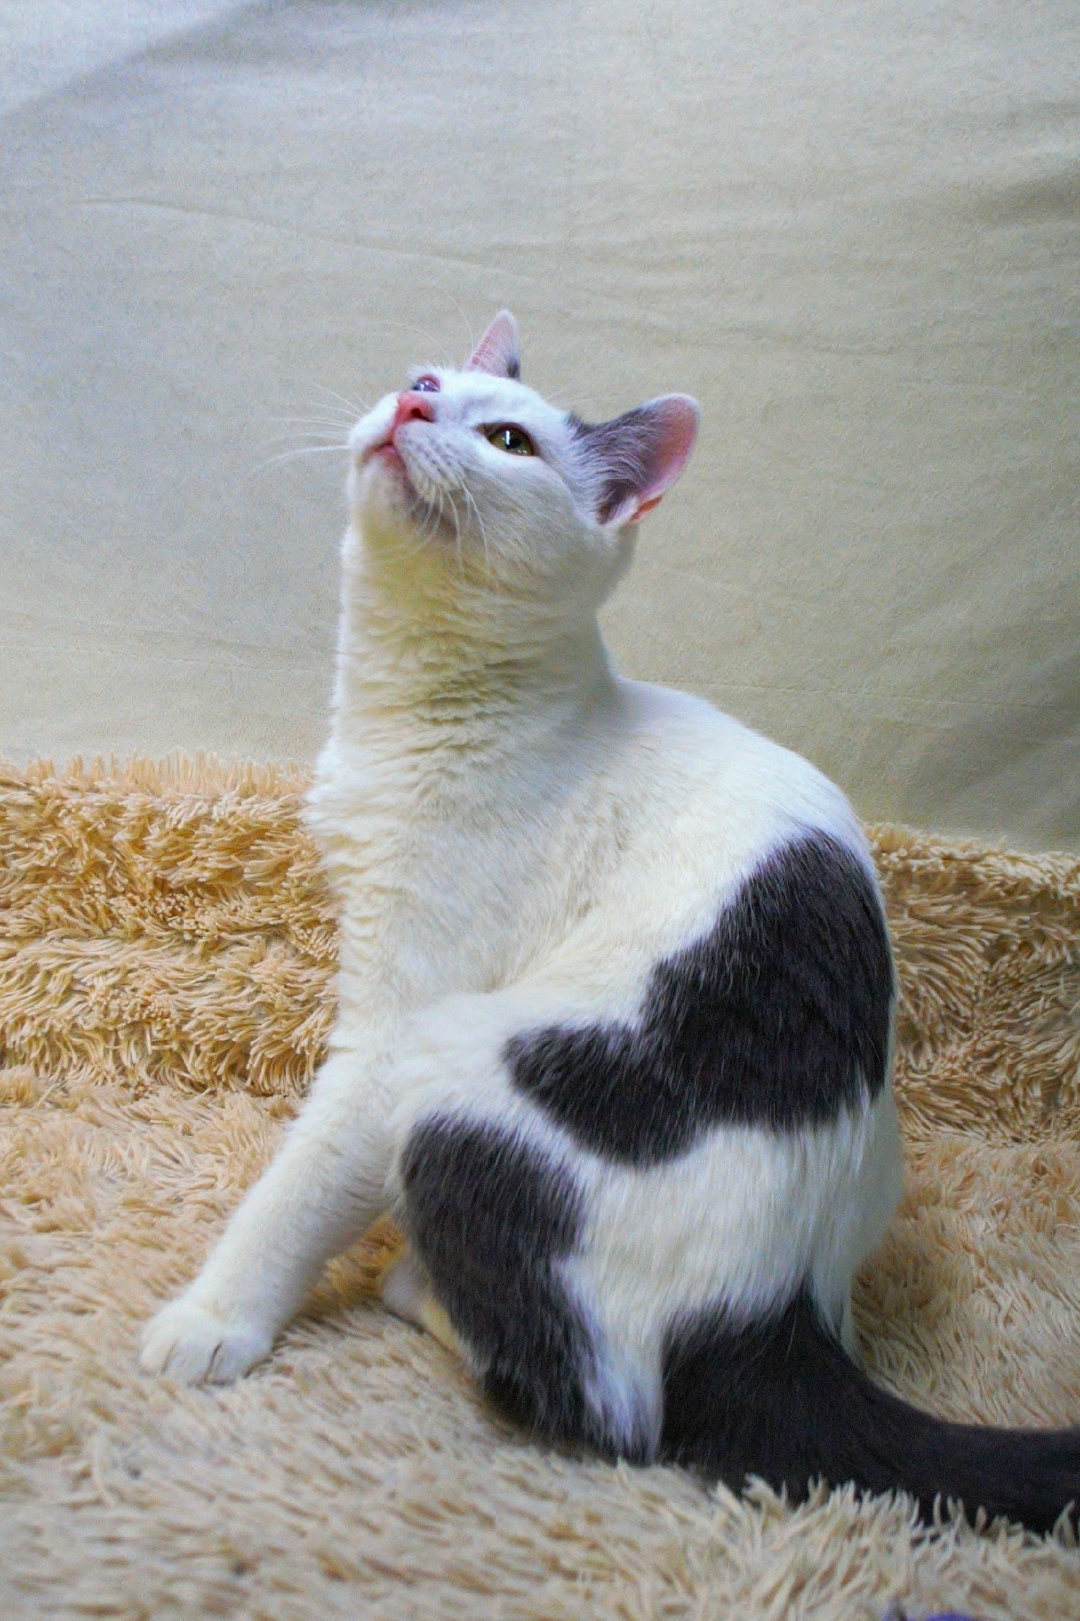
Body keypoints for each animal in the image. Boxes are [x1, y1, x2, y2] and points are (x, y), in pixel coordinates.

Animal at [142, 311, 1080, 1531]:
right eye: (423, 378)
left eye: (508, 439)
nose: (411, 406)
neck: (418, 700)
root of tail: (777, 1310)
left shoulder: (396, 1022)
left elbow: (299, 1185)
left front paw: (216, 1316)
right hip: (885, 1159)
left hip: (459, 1072)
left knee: (608, 1411)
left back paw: (424, 1291)